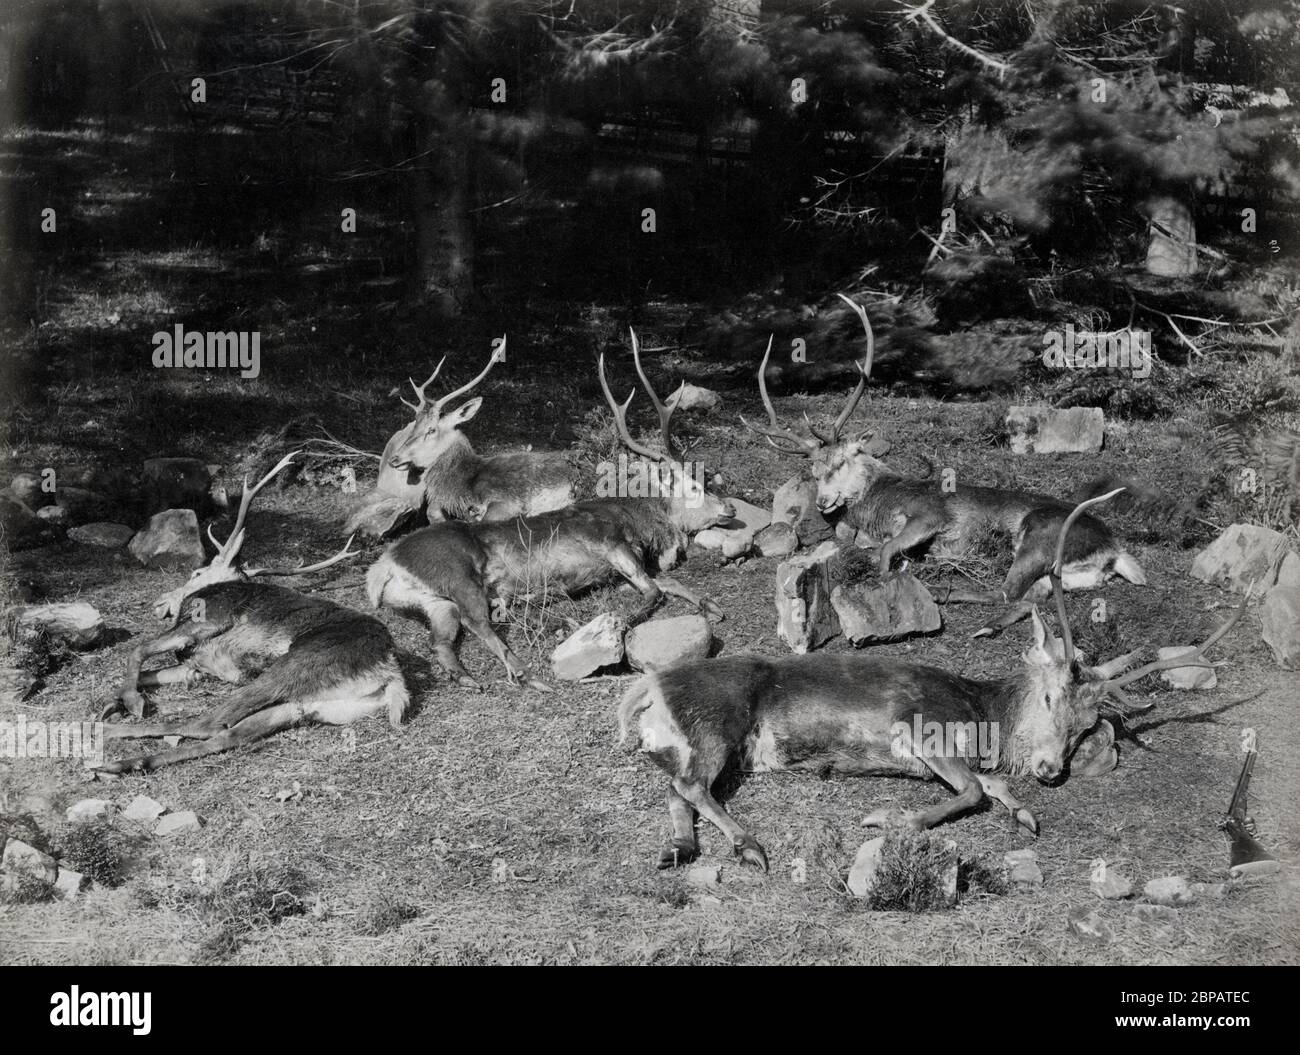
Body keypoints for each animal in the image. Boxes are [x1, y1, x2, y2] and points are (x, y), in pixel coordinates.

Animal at [95, 452, 408, 774]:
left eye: (197, 572)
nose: (160, 604)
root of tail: (391, 676)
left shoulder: (207, 620)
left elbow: (137, 650)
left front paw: (131, 702)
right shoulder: (195, 667)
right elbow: (148, 673)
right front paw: (113, 703)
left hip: (295, 663)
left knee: (209, 723)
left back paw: (109, 736)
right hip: (312, 705)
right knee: (229, 733)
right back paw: (122, 762)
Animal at [382, 340, 582, 522]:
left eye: (431, 430)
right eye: (415, 424)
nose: (394, 459)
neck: (460, 487)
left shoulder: (507, 500)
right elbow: (432, 510)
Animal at [621, 493, 1248, 873]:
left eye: (1088, 723)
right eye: (1050, 695)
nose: (1051, 770)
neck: (983, 716)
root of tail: (648, 691)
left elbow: (990, 786)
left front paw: (1023, 812)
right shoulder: (921, 726)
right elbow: (972, 789)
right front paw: (888, 818)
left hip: (701, 746)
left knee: (675, 787)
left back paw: (677, 849)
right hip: (716, 724)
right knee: (690, 785)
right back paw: (750, 846)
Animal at [743, 292, 1149, 634]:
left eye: (843, 459)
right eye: (813, 470)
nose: (824, 501)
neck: (878, 504)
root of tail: (1114, 550)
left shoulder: (928, 514)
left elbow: (885, 551)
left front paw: (895, 574)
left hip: (1041, 537)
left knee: (1007, 591)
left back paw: (944, 592)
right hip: (1061, 573)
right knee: (1030, 596)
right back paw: (978, 619)